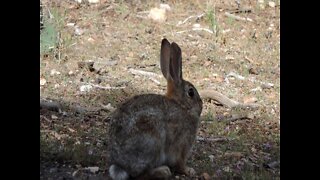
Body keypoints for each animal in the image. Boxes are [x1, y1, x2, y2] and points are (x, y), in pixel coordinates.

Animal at [107, 38, 202, 179]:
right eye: (191, 92)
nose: (201, 106)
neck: (181, 105)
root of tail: (121, 164)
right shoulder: (181, 144)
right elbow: (180, 163)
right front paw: (189, 170)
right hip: (152, 139)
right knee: (140, 174)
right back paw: (163, 171)